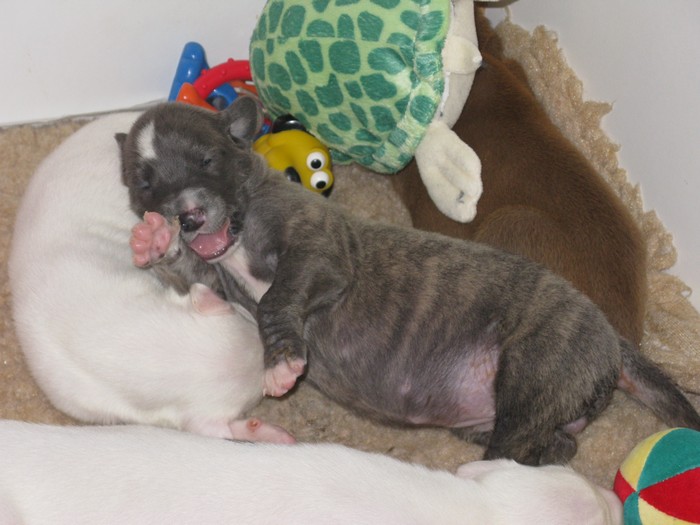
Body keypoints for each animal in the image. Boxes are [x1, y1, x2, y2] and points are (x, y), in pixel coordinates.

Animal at [117, 97, 700, 465]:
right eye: (143, 184)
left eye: (206, 159)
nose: (187, 217)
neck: (241, 229)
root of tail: (613, 338)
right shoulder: (219, 283)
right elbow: (198, 273)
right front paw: (153, 241)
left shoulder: (319, 251)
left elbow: (276, 298)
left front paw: (281, 364)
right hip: (514, 408)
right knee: (556, 445)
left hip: (536, 372)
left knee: (517, 446)